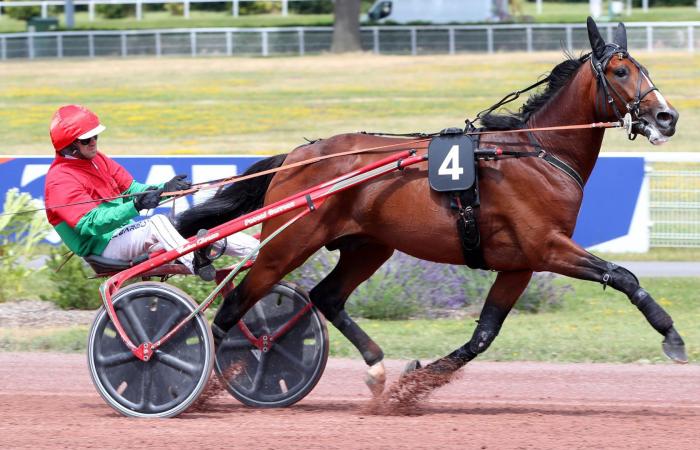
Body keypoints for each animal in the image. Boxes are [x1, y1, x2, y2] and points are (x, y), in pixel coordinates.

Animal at [175, 16, 684, 398]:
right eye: (620, 71)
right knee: (234, 305)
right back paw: (196, 380)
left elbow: (483, 335)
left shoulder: (520, 263)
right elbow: (623, 276)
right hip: (288, 244)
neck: (538, 152)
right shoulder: (549, 247)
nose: (667, 117)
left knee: (326, 297)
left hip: (368, 246)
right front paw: (672, 336)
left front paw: (414, 383)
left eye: (641, 67)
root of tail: (298, 156)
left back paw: (375, 367)